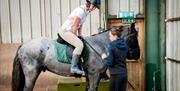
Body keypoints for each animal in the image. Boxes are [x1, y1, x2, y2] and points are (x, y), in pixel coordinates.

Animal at [11, 22, 140, 91]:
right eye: (134, 37)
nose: (137, 55)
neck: (100, 45)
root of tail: (23, 45)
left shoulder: (90, 76)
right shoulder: (94, 76)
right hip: (31, 74)